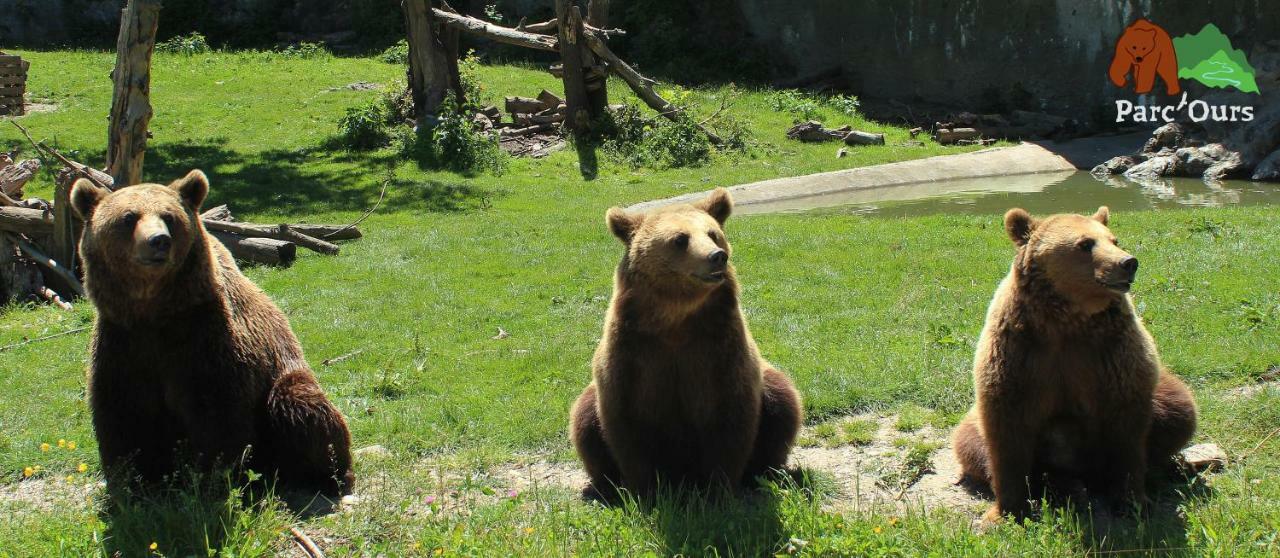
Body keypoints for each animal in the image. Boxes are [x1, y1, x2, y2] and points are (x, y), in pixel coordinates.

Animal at [74, 170, 355, 496]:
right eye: (128, 217)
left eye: (169, 216)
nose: (158, 241)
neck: (154, 309)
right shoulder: (123, 341)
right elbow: (123, 414)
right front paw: (133, 481)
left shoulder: (204, 338)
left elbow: (216, 413)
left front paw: (217, 477)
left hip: (282, 380)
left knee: (301, 407)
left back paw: (326, 474)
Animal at [570, 188, 798, 501]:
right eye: (680, 239)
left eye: (713, 233)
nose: (717, 256)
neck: (676, 320)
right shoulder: (632, 355)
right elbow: (628, 428)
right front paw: (647, 491)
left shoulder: (720, 351)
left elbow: (730, 421)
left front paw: (719, 490)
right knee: (584, 423)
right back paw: (602, 486)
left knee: (783, 403)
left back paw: (764, 473)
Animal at [952, 207, 1198, 524]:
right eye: (1085, 243)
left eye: (1114, 239)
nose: (1128, 263)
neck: (1067, 321)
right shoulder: (1020, 354)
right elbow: (1007, 435)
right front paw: (1004, 512)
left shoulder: (1112, 354)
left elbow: (1128, 434)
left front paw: (1132, 501)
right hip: (975, 425)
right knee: (969, 443)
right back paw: (1059, 486)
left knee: (1180, 411)